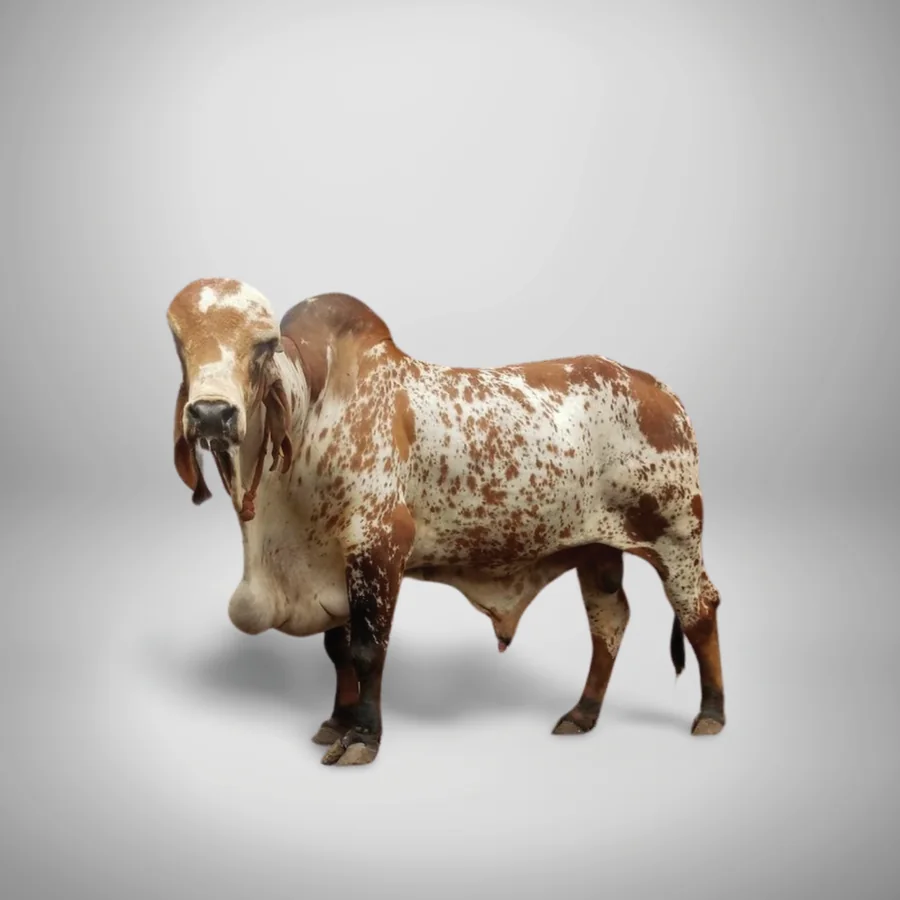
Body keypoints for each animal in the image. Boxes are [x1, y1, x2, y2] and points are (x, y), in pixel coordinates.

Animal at [167, 278, 725, 767]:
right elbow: (338, 648)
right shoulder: (335, 564)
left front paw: (361, 737)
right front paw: (335, 722)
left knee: (698, 610)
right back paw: (582, 714)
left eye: (262, 347)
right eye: (178, 343)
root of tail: (661, 391)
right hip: (596, 549)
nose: (212, 414)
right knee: (609, 620)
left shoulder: (379, 546)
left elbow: (367, 649)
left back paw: (711, 715)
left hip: (677, 535)